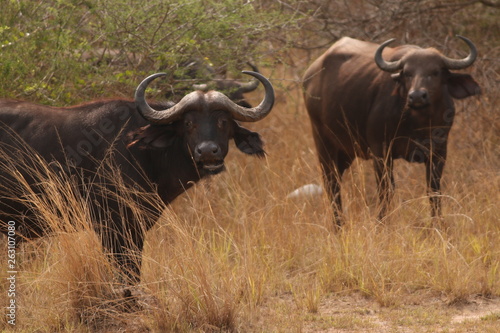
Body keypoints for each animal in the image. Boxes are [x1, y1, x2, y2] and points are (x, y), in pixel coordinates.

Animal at [0, 69, 276, 280]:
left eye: (223, 121)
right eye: (188, 123)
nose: (208, 151)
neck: (144, 152)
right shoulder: (113, 226)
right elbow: (126, 272)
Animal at [300, 36, 480, 224]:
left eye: (435, 71)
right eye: (407, 73)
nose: (417, 96)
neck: (418, 122)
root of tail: (310, 75)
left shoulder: (439, 153)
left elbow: (434, 191)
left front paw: (437, 224)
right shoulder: (381, 152)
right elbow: (385, 190)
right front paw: (381, 223)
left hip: (346, 153)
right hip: (323, 144)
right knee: (331, 185)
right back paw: (338, 225)